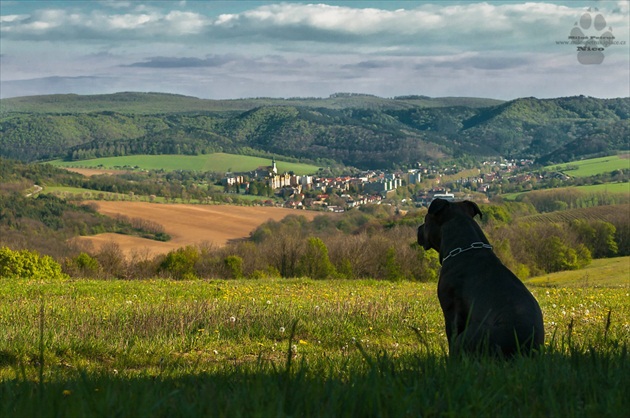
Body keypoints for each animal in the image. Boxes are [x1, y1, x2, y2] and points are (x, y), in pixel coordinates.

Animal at [418, 198, 544, 356]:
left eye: (425, 220)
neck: (467, 249)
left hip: (468, 335)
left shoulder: (451, 311)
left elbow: (450, 338)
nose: (418, 228)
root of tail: (523, 349)